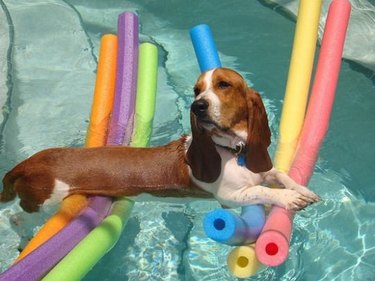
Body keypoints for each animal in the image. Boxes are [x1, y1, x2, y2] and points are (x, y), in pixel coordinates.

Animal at [0, 68, 320, 212]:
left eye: (224, 85)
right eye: (196, 90)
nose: (198, 106)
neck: (231, 150)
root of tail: (27, 164)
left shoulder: (262, 168)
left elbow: (279, 174)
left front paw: (302, 189)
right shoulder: (229, 197)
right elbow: (263, 191)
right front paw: (289, 198)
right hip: (44, 203)